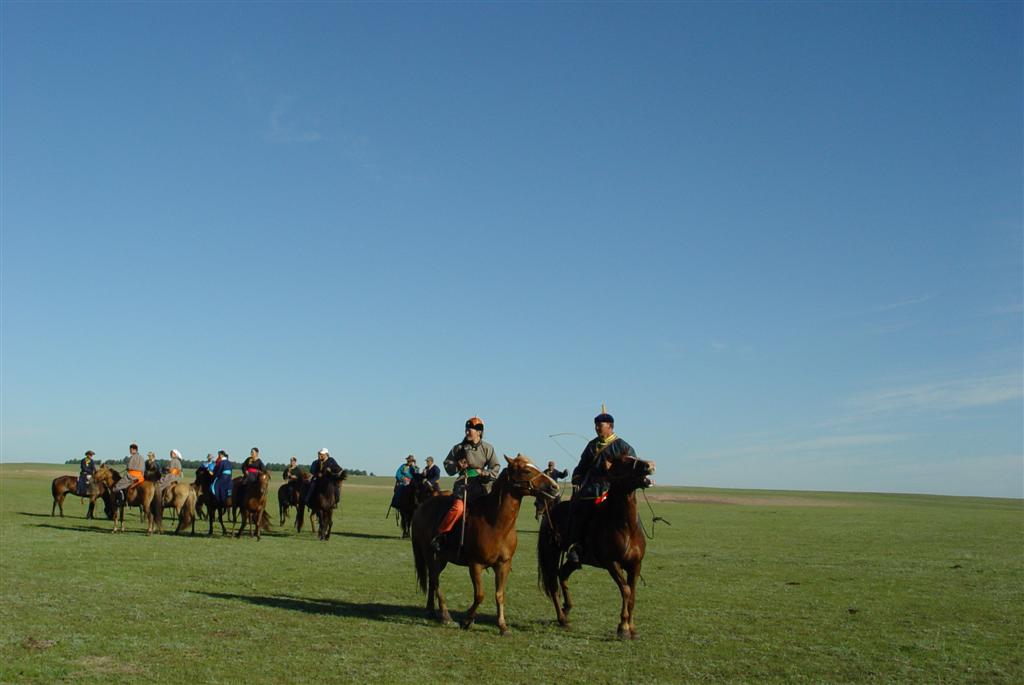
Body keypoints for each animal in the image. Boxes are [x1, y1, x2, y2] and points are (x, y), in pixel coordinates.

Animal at [409, 454, 561, 634]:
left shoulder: (503, 564)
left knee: (433, 581)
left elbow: (499, 594)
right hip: (429, 554)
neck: (495, 523)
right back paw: (446, 616)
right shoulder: (475, 565)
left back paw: (431, 610)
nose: (554, 487)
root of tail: (421, 508)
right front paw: (467, 620)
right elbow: (480, 595)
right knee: (435, 579)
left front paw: (502, 626)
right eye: (526, 470)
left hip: (441, 558)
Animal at [536, 450, 655, 638]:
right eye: (624, 462)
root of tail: (551, 512)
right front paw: (623, 627)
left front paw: (632, 628)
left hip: (575, 560)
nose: (649, 465)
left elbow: (632, 594)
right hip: (551, 553)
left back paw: (567, 608)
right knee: (553, 583)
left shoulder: (635, 565)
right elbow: (626, 591)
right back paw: (562, 618)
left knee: (563, 574)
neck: (626, 527)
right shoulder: (612, 563)